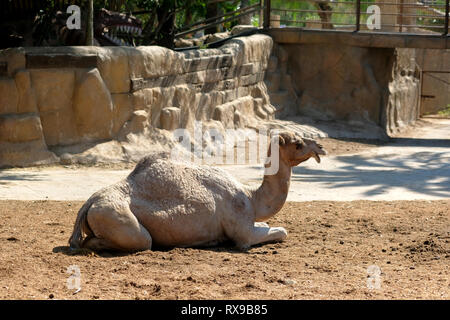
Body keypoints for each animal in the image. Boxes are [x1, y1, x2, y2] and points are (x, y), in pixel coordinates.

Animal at [68, 131, 326, 251]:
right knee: (140, 240)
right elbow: (281, 231)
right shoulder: (243, 231)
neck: (252, 198)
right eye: (298, 144)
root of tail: (88, 204)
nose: (320, 147)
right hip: (117, 217)